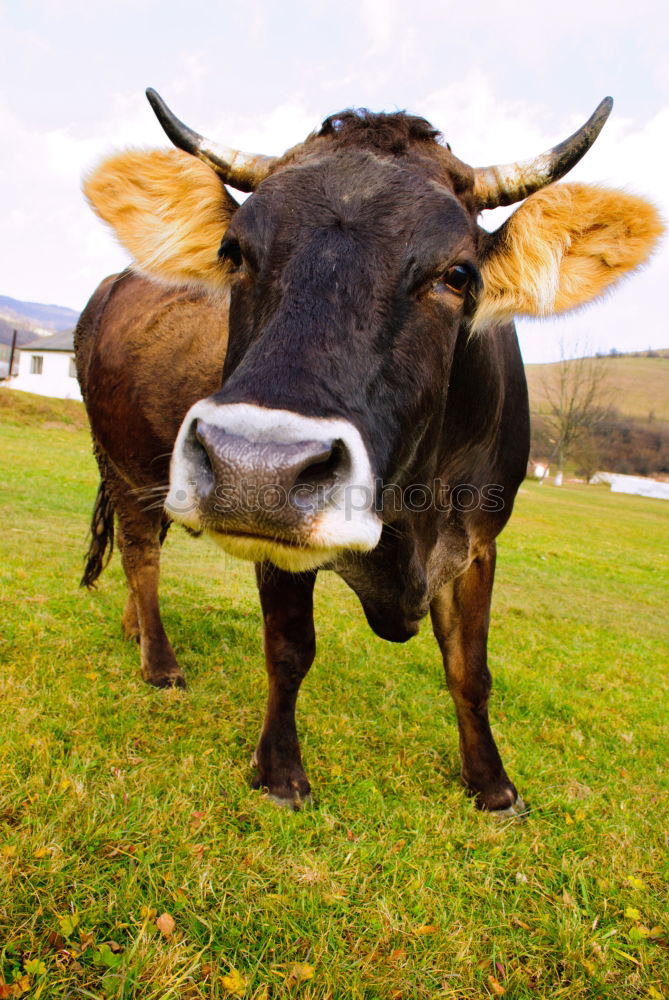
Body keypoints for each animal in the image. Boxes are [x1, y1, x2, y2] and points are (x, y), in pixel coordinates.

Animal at [75, 90, 660, 816]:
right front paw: (279, 773)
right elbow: (289, 650)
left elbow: (470, 669)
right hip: (123, 461)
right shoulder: (277, 540)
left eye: (457, 274)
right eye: (233, 251)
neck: (409, 509)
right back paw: (159, 661)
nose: (254, 466)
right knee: (142, 555)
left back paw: (136, 631)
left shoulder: (479, 542)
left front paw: (492, 786)